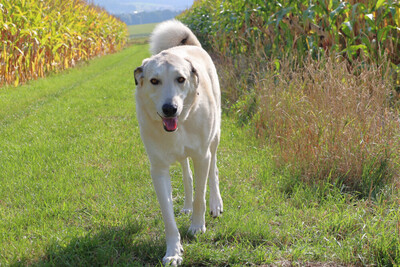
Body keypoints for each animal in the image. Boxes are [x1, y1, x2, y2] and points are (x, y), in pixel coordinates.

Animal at [134, 19, 222, 266]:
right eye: (154, 81)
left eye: (180, 79)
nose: (170, 108)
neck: (180, 124)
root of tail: (189, 46)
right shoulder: (158, 169)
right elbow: (167, 215)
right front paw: (173, 251)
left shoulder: (202, 156)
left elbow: (201, 194)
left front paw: (197, 226)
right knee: (186, 174)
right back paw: (186, 206)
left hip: (214, 139)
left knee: (213, 171)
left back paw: (216, 204)